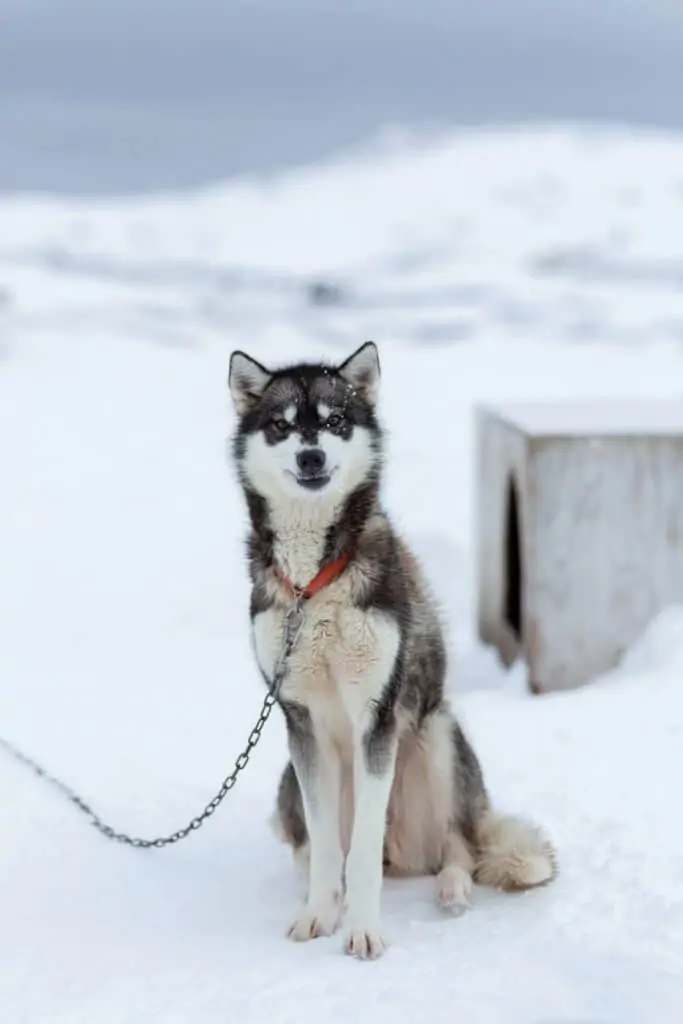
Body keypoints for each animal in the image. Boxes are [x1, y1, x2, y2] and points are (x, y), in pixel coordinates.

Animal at [227, 344, 557, 958]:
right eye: (281, 427)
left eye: (335, 420)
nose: (310, 456)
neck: (313, 584)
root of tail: (401, 857)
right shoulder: (301, 722)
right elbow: (330, 847)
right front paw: (318, 914)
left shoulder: (376, 717)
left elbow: (359, 855)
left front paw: (363, 930)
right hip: (289, 776)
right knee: (310, 843)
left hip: (438, 734)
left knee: (457, 846)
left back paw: (452, 889)